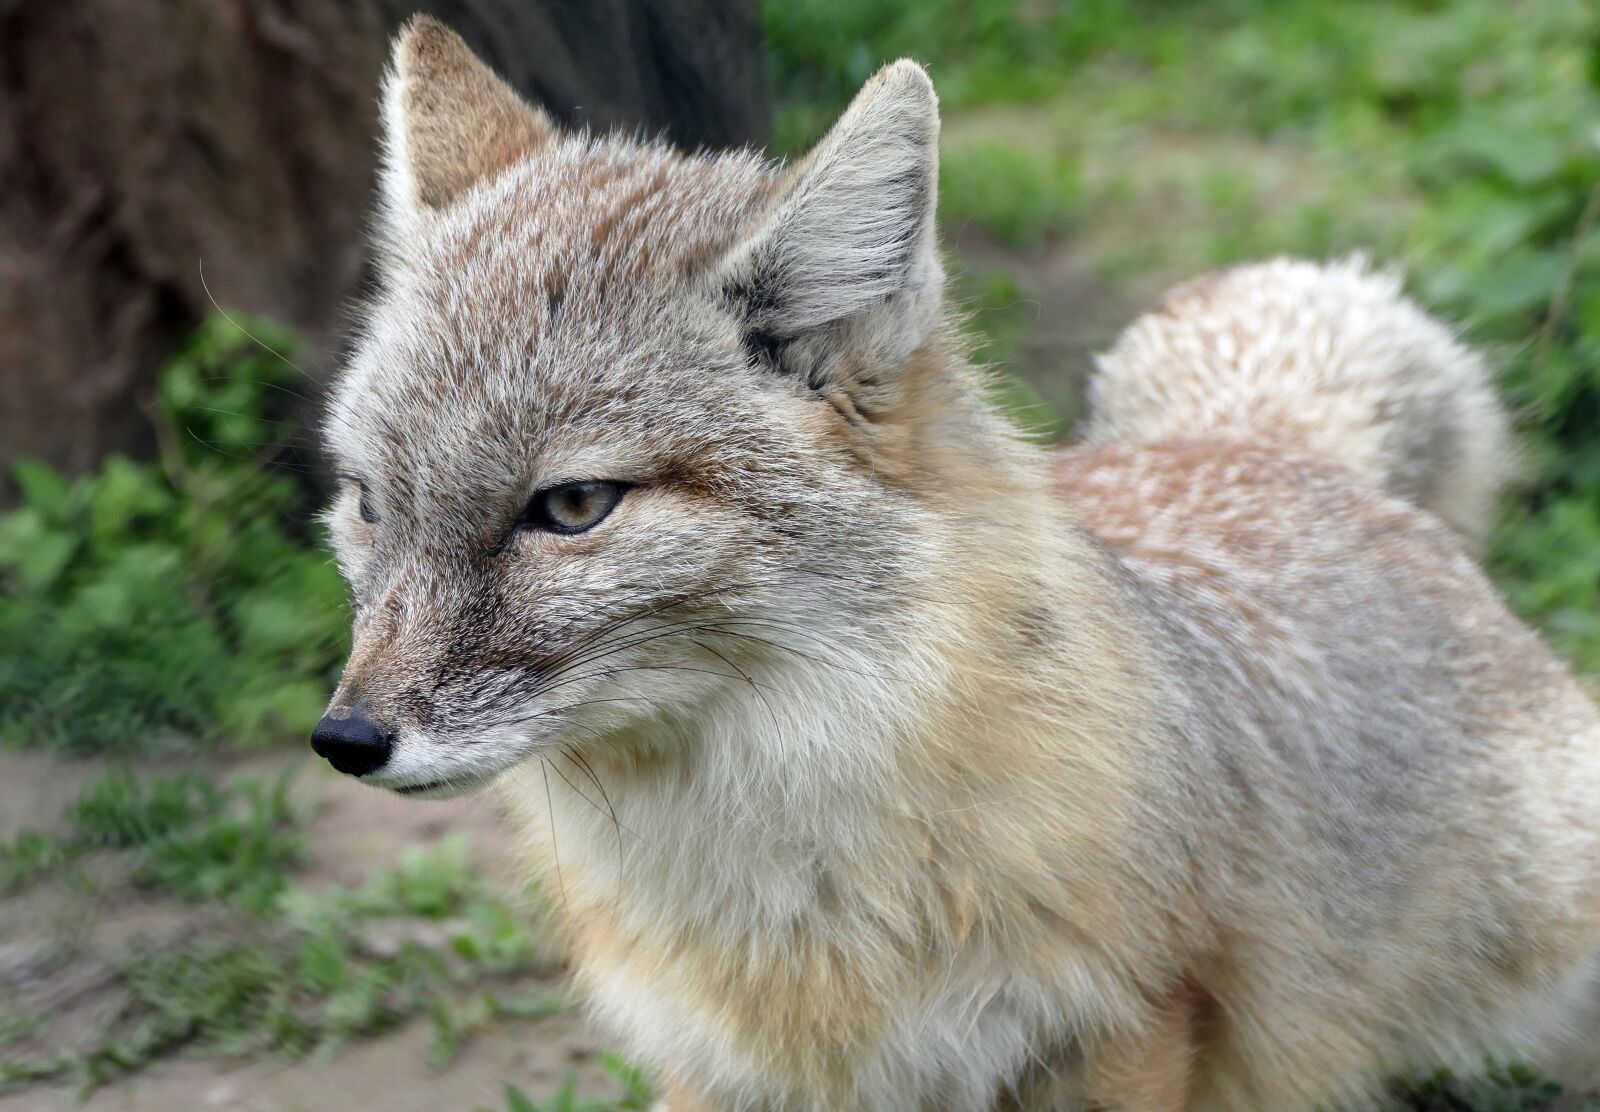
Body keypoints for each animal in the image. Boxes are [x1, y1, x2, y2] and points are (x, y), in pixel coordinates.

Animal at [310, 17, 1600, 1111]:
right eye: (368, 502)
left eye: (572, 506)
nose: (344, 740)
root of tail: (1253, 441)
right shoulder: (709, 1062)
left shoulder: (1123, 1024)